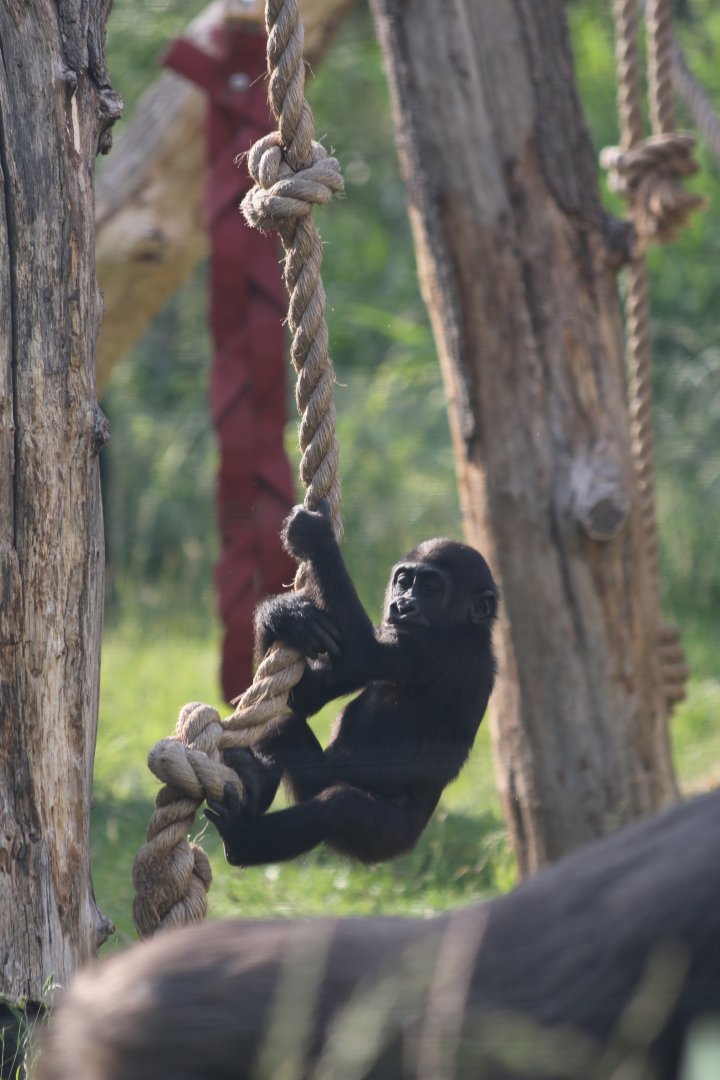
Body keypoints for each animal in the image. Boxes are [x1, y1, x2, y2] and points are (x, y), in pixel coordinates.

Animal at [205, 503, 498, 867]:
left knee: (338, 808)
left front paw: (316, 537)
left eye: (431, 588)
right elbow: (306, 695)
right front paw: (283, 615)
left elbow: (360, 651)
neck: (469, 629)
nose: (403, 605)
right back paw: (253, 783)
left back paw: (243, 839)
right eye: (404, 582)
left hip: (385, 837)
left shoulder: (440, 649)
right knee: (282, 729)